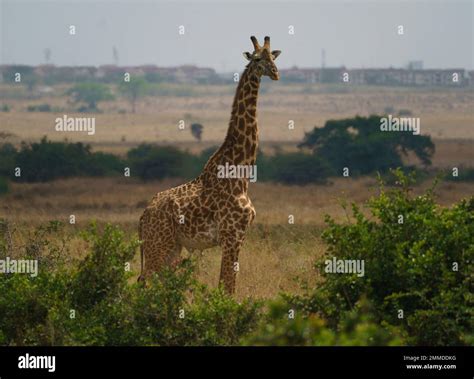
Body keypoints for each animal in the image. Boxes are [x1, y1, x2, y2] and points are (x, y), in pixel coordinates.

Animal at [138, 36, 282, 294]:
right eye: (257, 59)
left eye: (273, 58)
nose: (275, 73)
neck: (241, 172)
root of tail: (143, 216)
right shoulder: (231, 235)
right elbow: (227, 286)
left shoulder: (239, 236)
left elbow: (227, 285)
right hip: (158, 244)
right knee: (143, 282)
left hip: (172, 247)